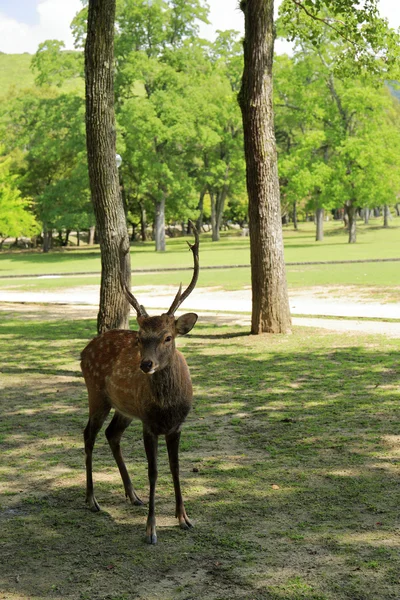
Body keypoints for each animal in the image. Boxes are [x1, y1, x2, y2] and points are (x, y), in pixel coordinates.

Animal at [81, 225, 200, 544]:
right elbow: (154, 471)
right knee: (88, 434)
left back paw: (132, 495)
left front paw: (185, 518)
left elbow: (176, 468)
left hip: (124, 408)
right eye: (138, 338)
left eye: (168, 337)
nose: (145, 364)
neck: (167, 408)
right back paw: (92, 499)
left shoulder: (177, 426)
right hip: (96, 394)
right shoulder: (149, 424)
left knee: (111, 434)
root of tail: (84, 350)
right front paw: (151, 529)